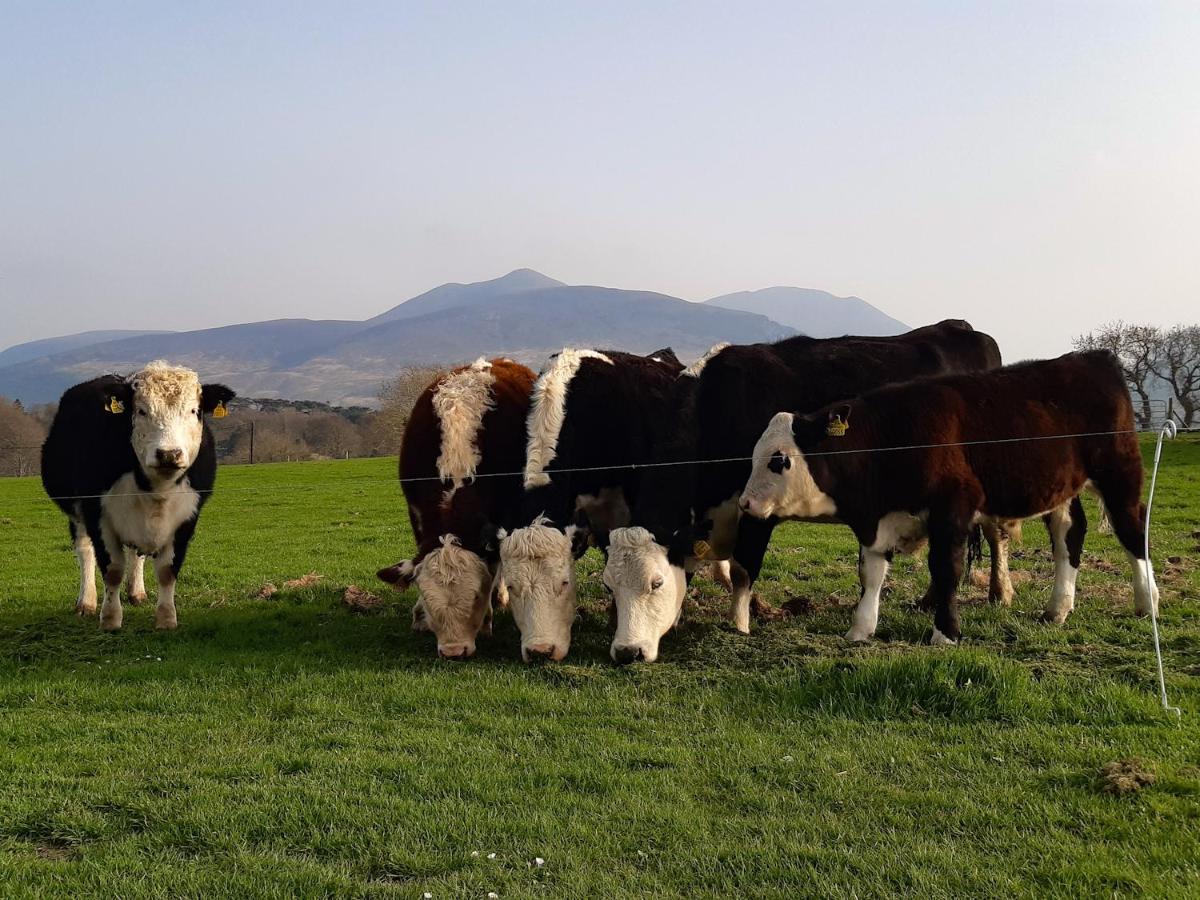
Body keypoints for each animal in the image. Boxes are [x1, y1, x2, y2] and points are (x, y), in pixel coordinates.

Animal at [41, 362, 236, 633]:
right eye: (141, 411)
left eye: (194, 410)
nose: (169, 454)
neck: (156, 489)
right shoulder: (97, 513)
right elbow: (112, 569)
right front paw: (110, 619)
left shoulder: (187, 518)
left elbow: (167, 571)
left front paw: (166, 619)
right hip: (76, 512)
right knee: (85, 550)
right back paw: (86, 602)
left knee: (136, 553)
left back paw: (137, 593)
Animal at [376, 360, 532, 662]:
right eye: (425, 596)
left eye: (476, 596)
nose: (454, 651)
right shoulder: (417, 514)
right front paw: (419, 617)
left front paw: (490, 614)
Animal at [600, 321, 1003, 667]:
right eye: (609, 586)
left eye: (656, 582)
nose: (627, 652)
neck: (717, 407)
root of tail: (962, 328)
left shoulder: (758, 509)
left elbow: (744, 570)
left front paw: (739, 627)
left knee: (994, 536)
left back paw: (999, 594)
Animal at [734, 348, 1156, 643]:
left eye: (779, 460)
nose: (746, 503)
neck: (891, 439)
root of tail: (1091, 358)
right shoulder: (877, 521)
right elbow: (871, 574)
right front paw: (860, 629)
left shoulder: (953, 509)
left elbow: (946, 569)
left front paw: (945, 633)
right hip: (1062, 489)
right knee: (1069, 535)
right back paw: (1056, 609)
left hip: (1119, 472)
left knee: (1133, 529)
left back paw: (1146, 601)